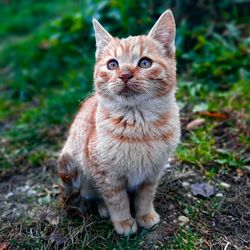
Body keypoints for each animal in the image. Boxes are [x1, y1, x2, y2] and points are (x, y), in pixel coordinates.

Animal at [58, 9, 180, 235]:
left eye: (144, 63)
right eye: (112, 64)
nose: (124, 75)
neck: (138, 125)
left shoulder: (153, 173)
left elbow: (145, 197)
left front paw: (145, 215)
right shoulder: (106, 175)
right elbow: (117, 200)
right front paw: (124, 222)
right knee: (93, 196)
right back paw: (103, 209)